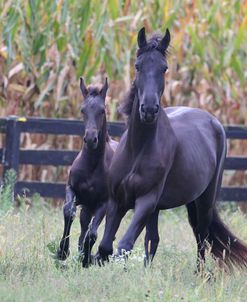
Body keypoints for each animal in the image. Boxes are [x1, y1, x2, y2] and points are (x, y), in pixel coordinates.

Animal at [56, 77, 117, 266]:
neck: (91, 165)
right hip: (87, 207)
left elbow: (93, 233)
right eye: (83, 110)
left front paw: (86, 259)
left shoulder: (104, 202)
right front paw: (62, 252)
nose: (90, 139)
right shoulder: (71, 189)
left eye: (102, 111)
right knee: (83, 225)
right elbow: (69, 212)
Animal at [97, 27, 247, 270]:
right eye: (137, 65)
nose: (149, 109)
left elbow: (124, 245)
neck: (138, 149)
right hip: (162, 208)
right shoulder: (117, 202)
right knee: (153, 240)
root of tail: (214, 123)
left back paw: (201, 275)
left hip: (203, 201)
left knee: (202, 236)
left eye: (164, 68)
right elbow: (105, 246)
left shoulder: (146, 201)